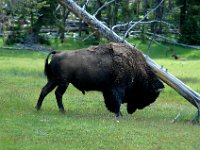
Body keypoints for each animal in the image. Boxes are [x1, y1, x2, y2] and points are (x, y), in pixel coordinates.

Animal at [35, 42, 164, 117]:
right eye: (148, 94)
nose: (135, 110)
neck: (135, 67)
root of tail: (57, 53)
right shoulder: (118, 88)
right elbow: (117, 100)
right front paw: (119, 115)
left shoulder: (108, 90)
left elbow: (112, 101)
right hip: (63, 82)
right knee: (58, 94)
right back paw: (62, 111)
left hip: (54, 80)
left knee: (45, 90)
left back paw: (38, 108)